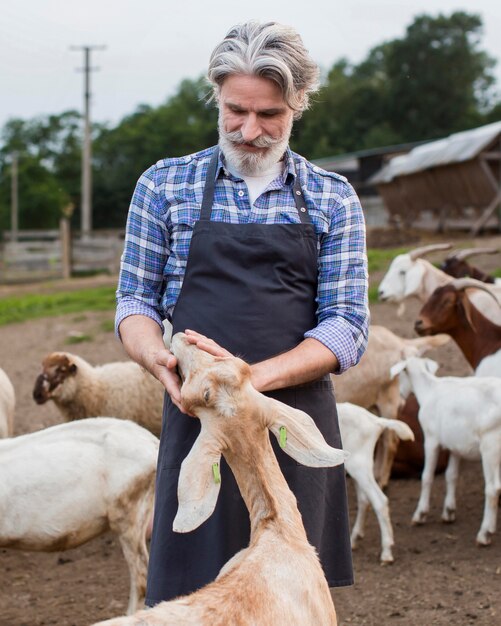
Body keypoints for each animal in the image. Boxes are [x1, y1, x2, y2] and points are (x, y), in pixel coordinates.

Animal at [336, 402, 414, 564]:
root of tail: (375, 421)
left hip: (358, 464)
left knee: (380, 500)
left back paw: (386, 552)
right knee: (364, 499)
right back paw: (354, 539)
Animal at [390, 358, 500, 544]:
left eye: (401, 376)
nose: (402, 396)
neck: (429, 389)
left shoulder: (431, 440)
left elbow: (427, 476)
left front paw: (420, 514)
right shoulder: (455, 446)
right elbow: (451, 476)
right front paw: (449, 512)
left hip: (490, 447)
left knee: (493, 489)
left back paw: (484, 533)